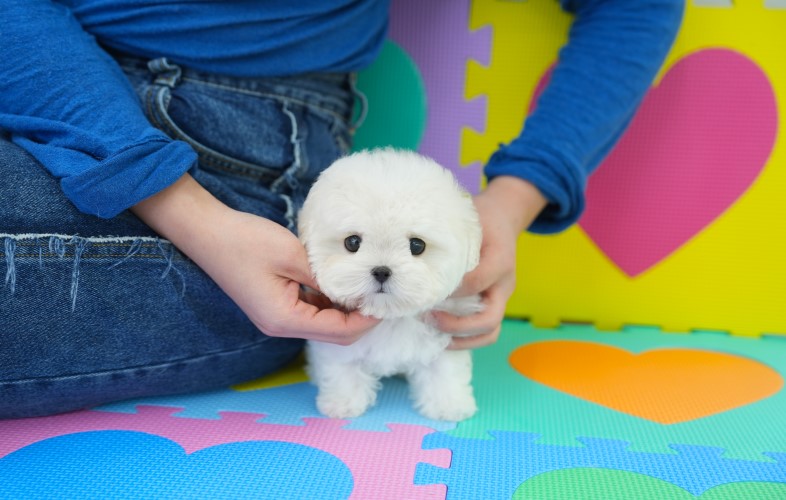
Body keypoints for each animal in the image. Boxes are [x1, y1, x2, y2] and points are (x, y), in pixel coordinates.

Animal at [298, 148, 483, 421]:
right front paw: (343, 402)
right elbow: (343, 366)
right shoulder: (338, 344)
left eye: (417, 245)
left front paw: (448, 404)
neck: (392, 316)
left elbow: (444, 368)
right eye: (352, 242)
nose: (381, 271)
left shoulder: (448, 330)